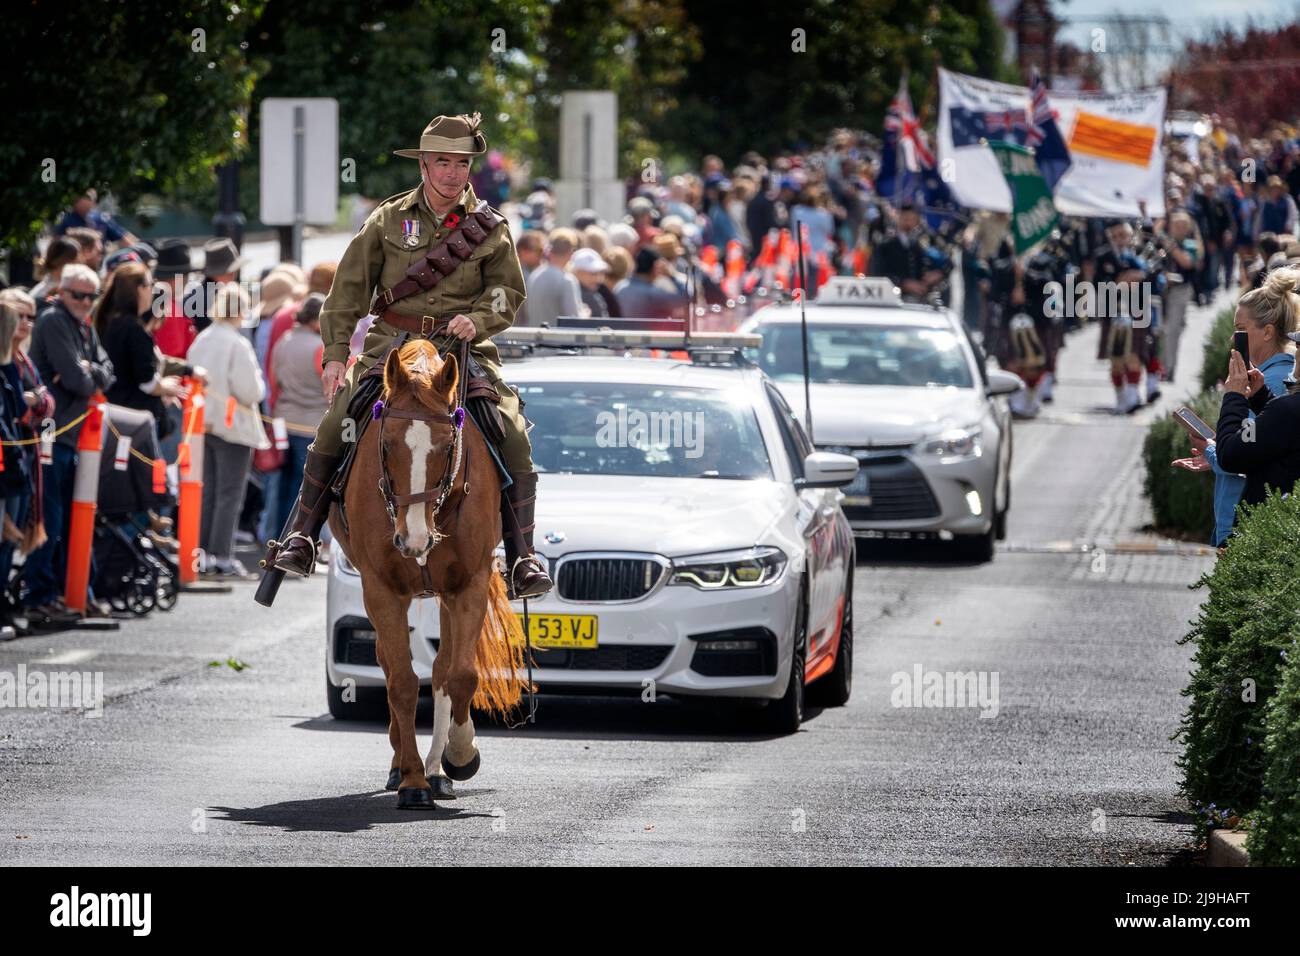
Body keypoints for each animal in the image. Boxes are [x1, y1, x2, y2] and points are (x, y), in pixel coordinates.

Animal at [332, 340, 530, 811]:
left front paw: (459, 755)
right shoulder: (381, 589)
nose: (415, 539)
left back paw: (439, 770)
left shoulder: (468, 584)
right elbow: (403, 681)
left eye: (445, 446)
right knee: (390, 667)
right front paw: (412, 781)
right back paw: (404, 766)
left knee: (442, 670)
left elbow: (459, 675)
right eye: (386, 444)